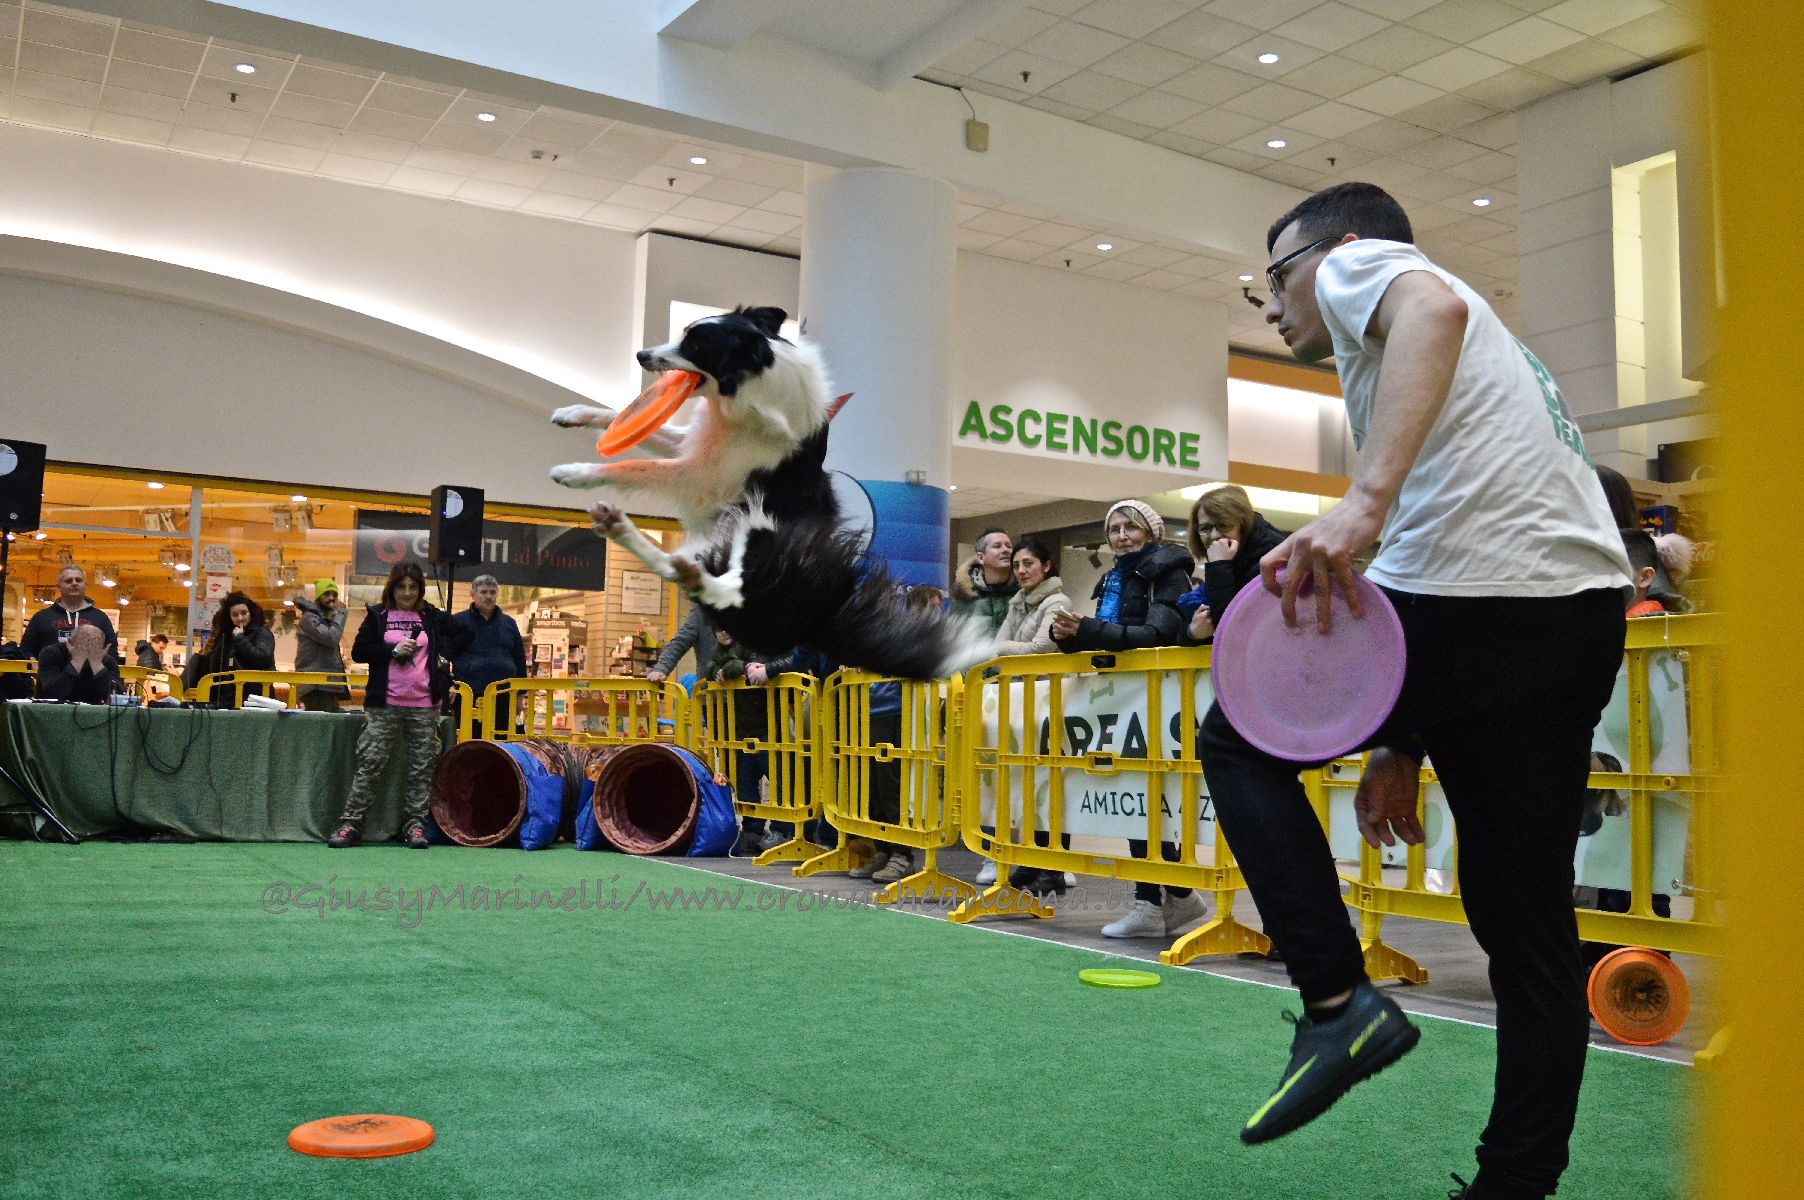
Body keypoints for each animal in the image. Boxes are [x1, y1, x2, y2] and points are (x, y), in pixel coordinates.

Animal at [549, 306, 995, 680]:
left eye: (695, 345)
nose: (642, 354)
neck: (757, 384)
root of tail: (820, 617)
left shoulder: (700, 476)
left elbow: (636, 467)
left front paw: (576, 472)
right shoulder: (699, 447)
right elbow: (628, 425)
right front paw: (573, 414)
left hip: (757, 556)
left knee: (705, 583)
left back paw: (623, 528)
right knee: (688, 573)